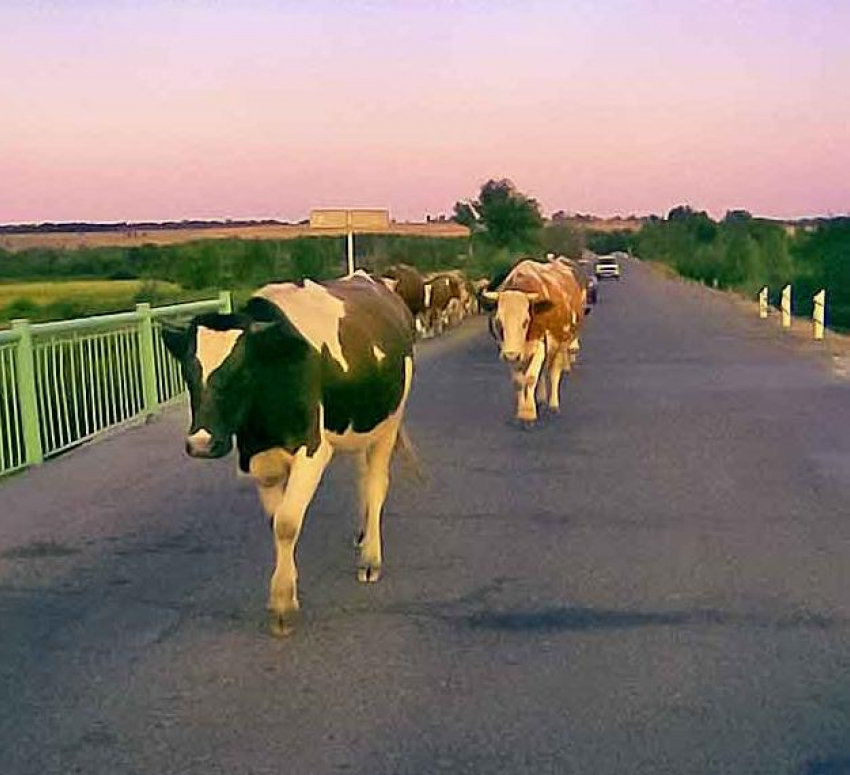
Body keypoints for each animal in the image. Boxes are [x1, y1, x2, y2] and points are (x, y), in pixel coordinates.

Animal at [161, 272, 414, 636]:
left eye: (242, 370)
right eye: (187, 373)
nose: (201, 444)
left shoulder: (312, 453)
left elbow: (287, 522)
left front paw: (282, 603)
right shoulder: (258, 458)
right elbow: (276, 522)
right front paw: (287, 588)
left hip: (389, 423)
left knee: (377, 484)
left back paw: (370, 558)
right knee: (363, 478)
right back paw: (362, 533)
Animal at [484, 260, 584, 424]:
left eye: (525, 321)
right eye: (499, 321)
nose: (511, 354)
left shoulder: (540, 345)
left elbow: (530, 378)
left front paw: (529, 414)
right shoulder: (508, 350)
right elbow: (518, 381)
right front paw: (521, 413)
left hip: (561, 341)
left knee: (554, 371)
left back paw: (553, 404)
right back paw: (542, 399)